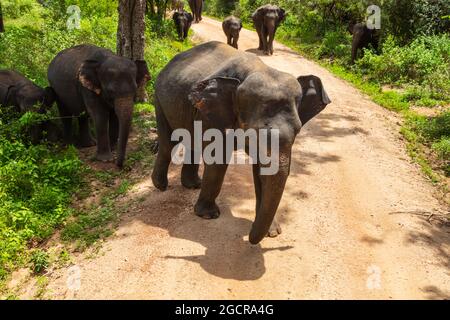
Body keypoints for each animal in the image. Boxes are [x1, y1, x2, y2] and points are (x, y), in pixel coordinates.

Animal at [151, 41, 330, 244]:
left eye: (298, 130)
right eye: (252, 131)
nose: (250, 237)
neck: (260, 69)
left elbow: (262, 170)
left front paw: (272, 232)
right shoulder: (211, 113)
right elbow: (218, 159)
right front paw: (208, 215)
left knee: (191, 143)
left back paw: (193, 185)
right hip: (159, 97)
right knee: (169, 143)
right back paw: (161, 186)